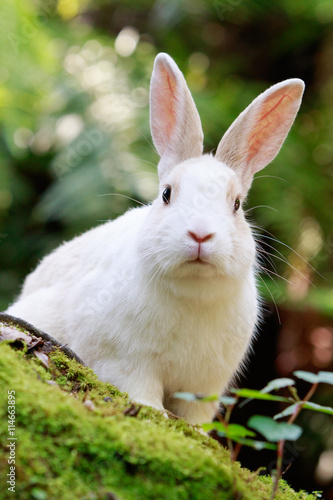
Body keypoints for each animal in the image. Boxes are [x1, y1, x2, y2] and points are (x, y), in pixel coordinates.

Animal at [7, 52, 304, 424]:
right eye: (166, 194)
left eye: (236, 205)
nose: (200, 233)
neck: (193, 292)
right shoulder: (127, 361)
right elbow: (140, 390)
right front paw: (153, 413)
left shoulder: (204, 387)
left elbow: (194, 416)